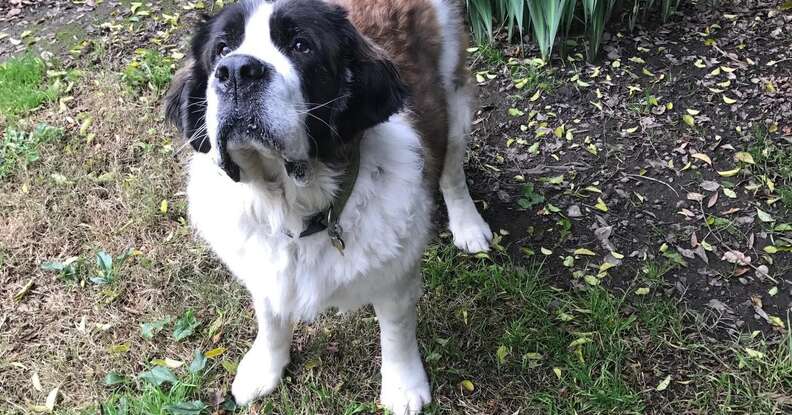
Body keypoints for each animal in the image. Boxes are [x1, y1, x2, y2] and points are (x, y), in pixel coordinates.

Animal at [165, 0, 492, 412]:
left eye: (302, 46)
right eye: (221, 49)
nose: (237, 71)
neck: (292, 206)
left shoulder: (395, 276)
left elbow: (397, 333)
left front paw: (402, 387)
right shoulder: (263, 270)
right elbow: (271, 321)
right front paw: (264, 369)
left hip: (453, 98)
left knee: (451, 168)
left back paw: (468, 225)